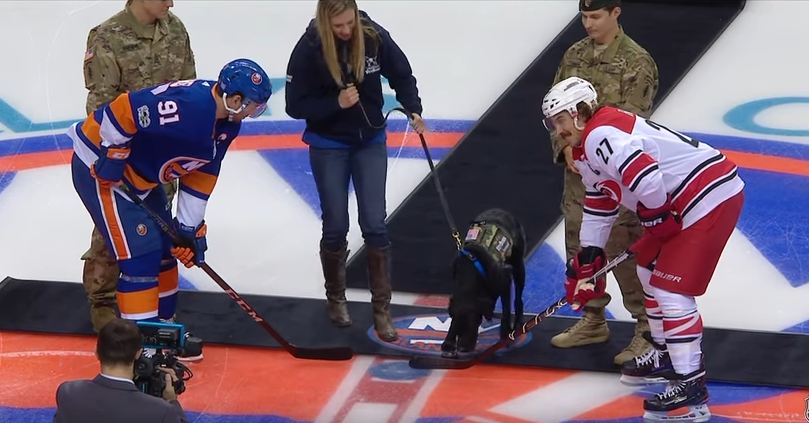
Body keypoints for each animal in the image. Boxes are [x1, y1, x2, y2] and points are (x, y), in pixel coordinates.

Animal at [438, 209, 528, 358]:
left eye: (474, 322)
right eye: (455, 325)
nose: (462, 348)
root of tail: (502, 211)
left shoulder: (504, 280)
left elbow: (506, 310)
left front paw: (505, 335)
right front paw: (448, 343)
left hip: (518, 263)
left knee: (518, 297)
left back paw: (518, 323)